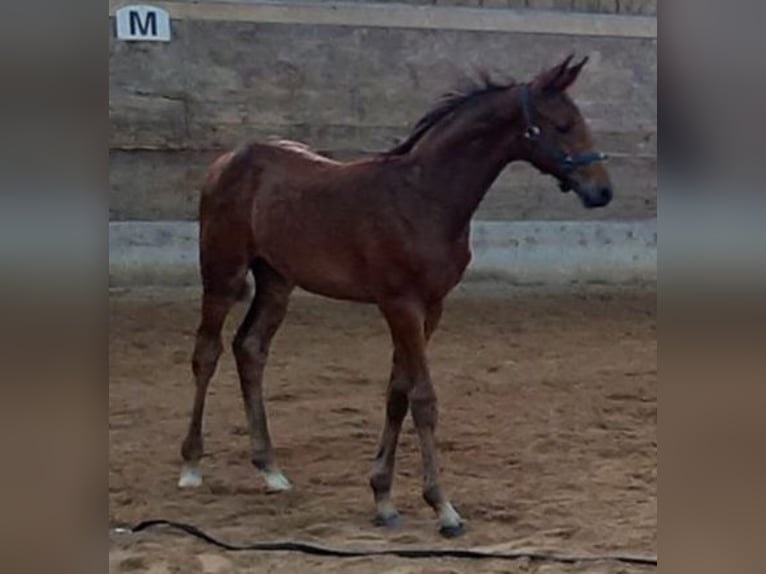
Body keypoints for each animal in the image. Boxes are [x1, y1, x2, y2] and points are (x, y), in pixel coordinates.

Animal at [177, 54, 613, 537]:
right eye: (562, 125)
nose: (602, 191)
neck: (424, 198)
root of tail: (228, 159)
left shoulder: (431, 307)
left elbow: (397, 392)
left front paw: (383, 498)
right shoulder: (400, 304)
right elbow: (423, 399)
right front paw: (443, 508)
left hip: (276, 281)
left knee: (250, 349)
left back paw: (270, 469)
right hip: (223, 273)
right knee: (207, 352)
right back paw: (192, 466)